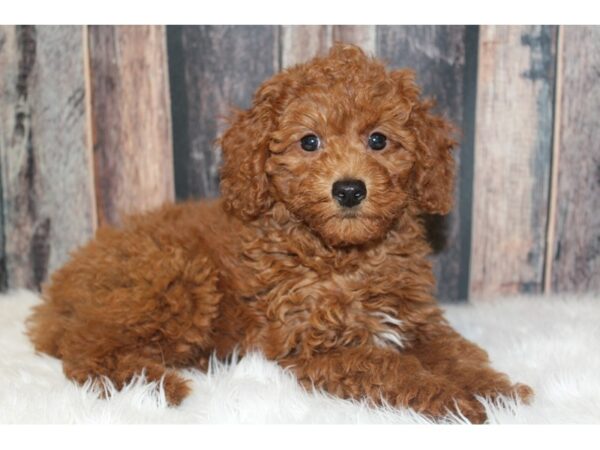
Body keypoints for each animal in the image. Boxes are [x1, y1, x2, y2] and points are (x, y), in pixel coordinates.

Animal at [28, 44, 536, 424]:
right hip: (175, 276)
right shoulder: (315, 346)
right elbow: (389, 368)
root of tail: (58, 292)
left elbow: (457, 353)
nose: (349, 189)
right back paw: (155, 386)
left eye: (378, 139)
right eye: (309, 141)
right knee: (87, 350)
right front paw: (454, 401)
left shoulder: (416, 319)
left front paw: (497, 390)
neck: (345, 258)